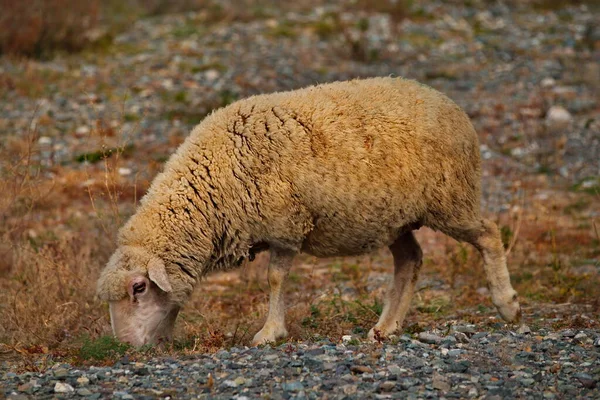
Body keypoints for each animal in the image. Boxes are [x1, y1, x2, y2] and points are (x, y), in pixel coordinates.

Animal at [96, 76, 516, 346]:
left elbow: (275, 280)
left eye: (138, 288)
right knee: (410, 260)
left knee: (489, 233)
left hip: (451, 199)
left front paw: (270, 333)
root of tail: (447, 102)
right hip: (394, 219)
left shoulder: (285, 225)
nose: (125, 345)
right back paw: (386, 327)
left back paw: (507, 304)